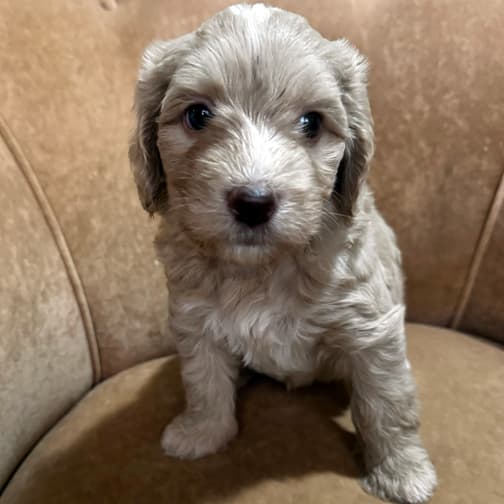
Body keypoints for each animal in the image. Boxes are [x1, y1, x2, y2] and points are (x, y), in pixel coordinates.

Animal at [129, 1, 438, 502]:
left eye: (311, 123)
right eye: (197, 115)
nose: (253, 202)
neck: (262, 268)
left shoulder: (372, 331)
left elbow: (387, 404)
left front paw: (402, 472)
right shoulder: (196, 322)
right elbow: (204, 382)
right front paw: (202, 433)